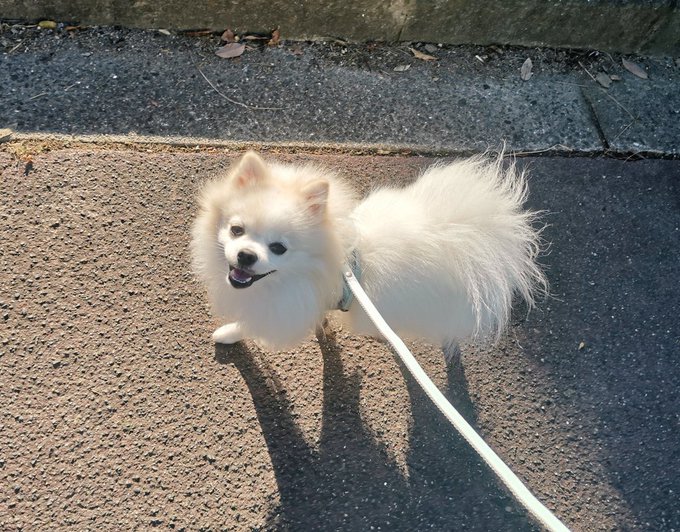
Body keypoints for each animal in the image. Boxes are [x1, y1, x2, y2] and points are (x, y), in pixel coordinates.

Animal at [191, 151, 546, 351]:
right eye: (237, 230)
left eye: (278, 248)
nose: (246, 256)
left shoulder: (283, 309)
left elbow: (249, 324)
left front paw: (229, 333)